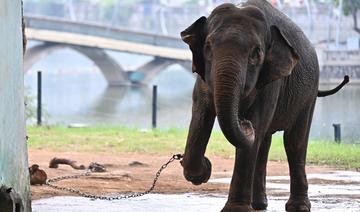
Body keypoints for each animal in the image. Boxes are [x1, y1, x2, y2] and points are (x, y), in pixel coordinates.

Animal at [180, 0, 348, 211]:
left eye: (256, 53)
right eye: (207, 47)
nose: (244, 122)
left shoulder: (272, 81)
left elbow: (256, 127)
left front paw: (235, 209)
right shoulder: (202, 78)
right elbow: (200, 116)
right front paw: (203, 170)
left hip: (309, 93)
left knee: (293, 142)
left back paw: (298, 207)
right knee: (264, 142)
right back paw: (259, 204)